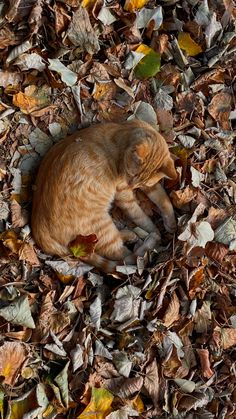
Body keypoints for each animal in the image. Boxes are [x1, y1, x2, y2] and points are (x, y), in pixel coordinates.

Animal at [32, 120, 178, 274]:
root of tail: (39, 229)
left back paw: (130, 235)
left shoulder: (149, 186)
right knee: (123, 257)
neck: (125, 133)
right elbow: (140, 216)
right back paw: (146, 241)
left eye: (140, 182)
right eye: (131, 175)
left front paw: (171, 223)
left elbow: (163, 199)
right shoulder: (124, 194)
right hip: (102, 227)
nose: (131, 186)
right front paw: (154, 229)